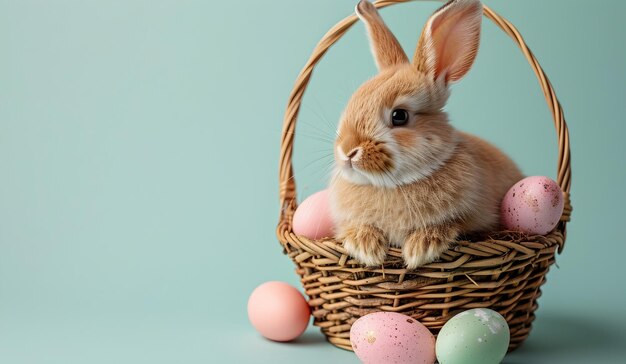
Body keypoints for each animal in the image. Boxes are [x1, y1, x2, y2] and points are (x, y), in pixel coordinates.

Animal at [326, 0, 520, 268]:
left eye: (399, 116)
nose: (347, 150)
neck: (392, 184)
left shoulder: (474, 218)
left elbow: (452, 225)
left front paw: (422, 248)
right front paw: (365, 247)